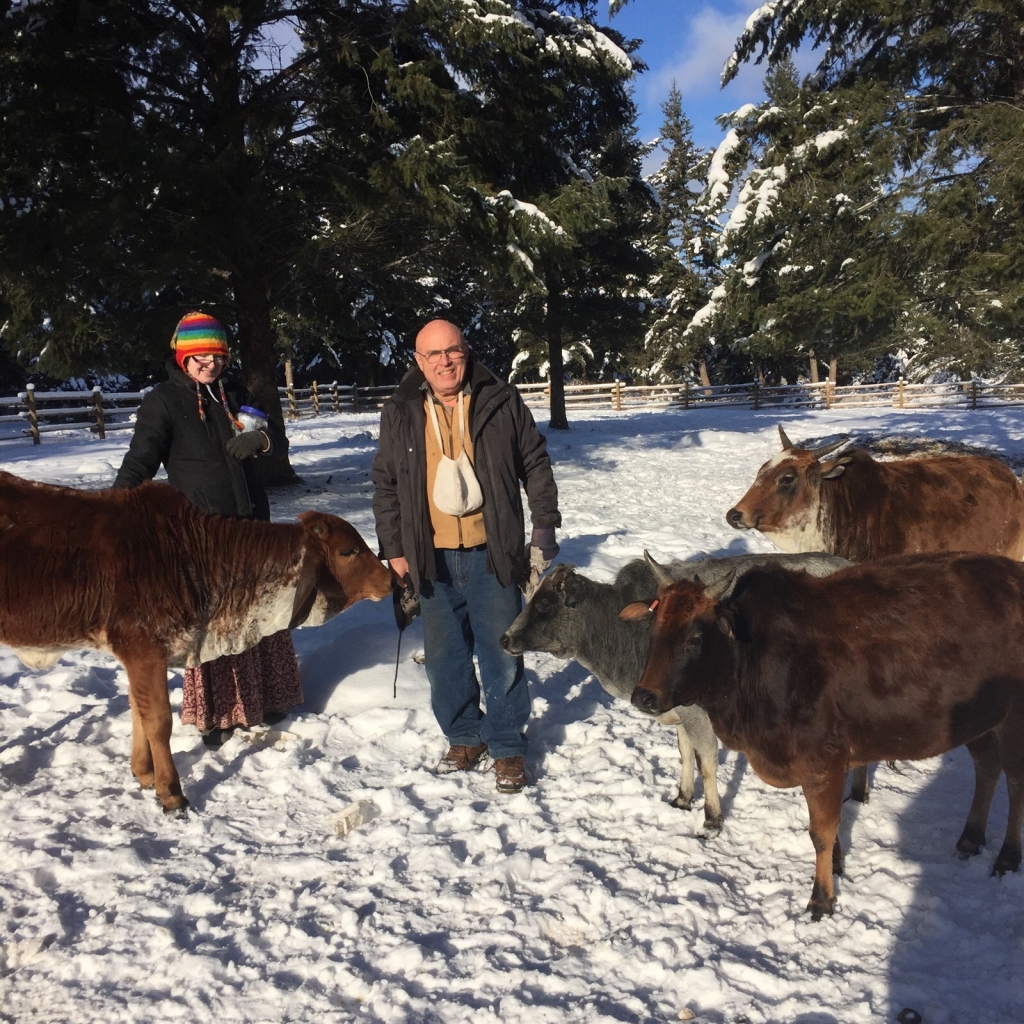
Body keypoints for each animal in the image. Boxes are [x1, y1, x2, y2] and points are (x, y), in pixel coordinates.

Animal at [0, 471, 391, 815]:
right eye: (348, 552)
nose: (391, 578)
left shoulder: (139, 655)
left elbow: (138, 711)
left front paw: (143, 773)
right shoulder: (144, 648)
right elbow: (159, 721)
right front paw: (172, 795)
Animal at [497, 552, 847, 831]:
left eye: (544, 605)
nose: (504, 639)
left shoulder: (698, 714)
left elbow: (707, 760)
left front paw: (712, 820)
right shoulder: (677, 713)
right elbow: (685, 753)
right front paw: (683, 798)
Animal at [622, 557, 1024, 925]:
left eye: (695, 637)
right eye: (654, 629)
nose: (644, 696)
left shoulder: (821, 760)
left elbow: (820, 832)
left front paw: (821, 899)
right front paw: (838, 864)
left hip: (1013, 721)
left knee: (1016, 783)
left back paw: (1007, 857)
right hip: (980, 720)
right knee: (987, 766)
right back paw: (970, 838)